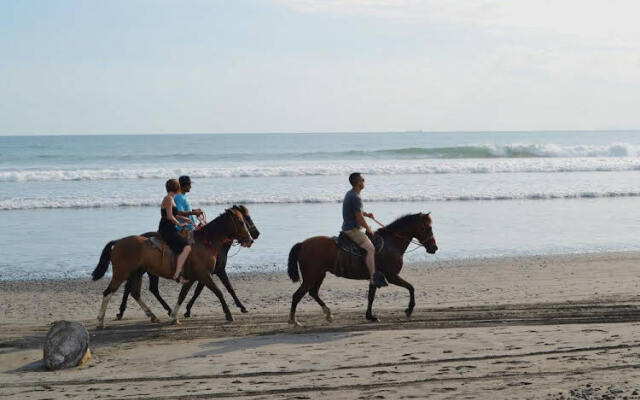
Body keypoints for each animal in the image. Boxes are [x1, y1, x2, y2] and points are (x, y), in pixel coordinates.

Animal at [92, 206, 252, 328]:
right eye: (241, 222)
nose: (250, 239)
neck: (205, 242)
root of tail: (118, 241)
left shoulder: (192, 278)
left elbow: (182, 296)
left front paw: (175, 316)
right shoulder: (204, 274)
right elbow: (219, 291)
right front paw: (228, 314)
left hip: (137, 273)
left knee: (135, 293)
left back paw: (152, 315)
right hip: (121, 273)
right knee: (108, 293)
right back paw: (100, 321)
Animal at [288, 212, 438, 324]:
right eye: (428, 228)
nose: (434, 248)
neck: (390, 243)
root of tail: (303, 244)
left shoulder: (375, 277)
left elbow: (371, 296)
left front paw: (370, 316)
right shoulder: (392, 276)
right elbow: (411, 287)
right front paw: (409, 309)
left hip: (319, 275)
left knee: (313, 293)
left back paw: (328, 314)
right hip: (311, 277)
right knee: (297, 295)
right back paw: (293, 321)